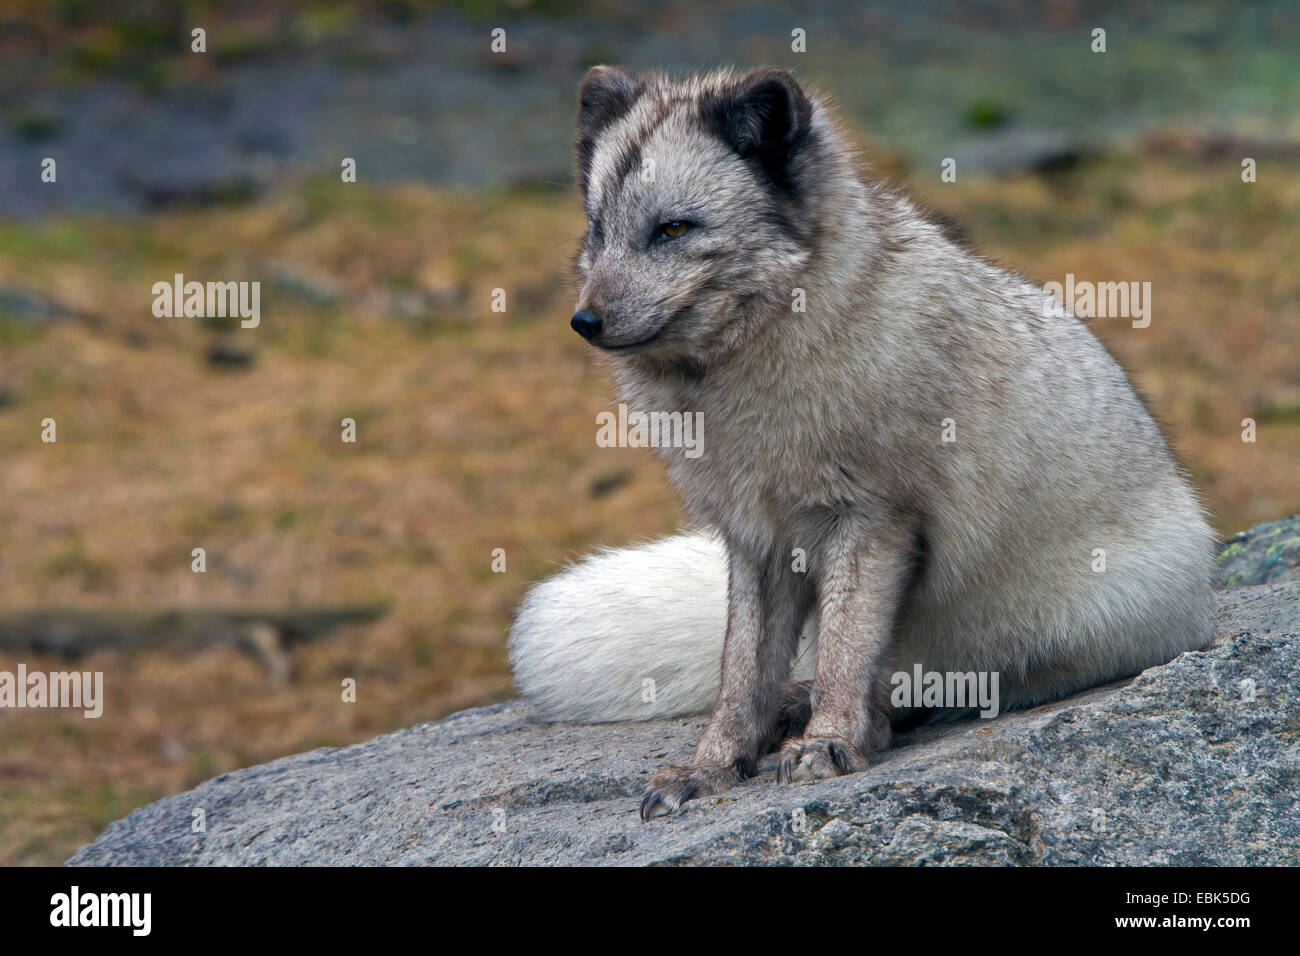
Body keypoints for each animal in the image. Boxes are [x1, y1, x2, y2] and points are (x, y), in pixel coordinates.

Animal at [501, 67, 1211, 816]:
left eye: (672, 228)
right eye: (597, 230)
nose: (584, 321)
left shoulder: (872, 519)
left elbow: (846, 651)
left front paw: (829, 742)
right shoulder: (756, 538)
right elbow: (740, 673)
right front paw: (712, 766)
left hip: (1068, 622)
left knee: (944, 682)